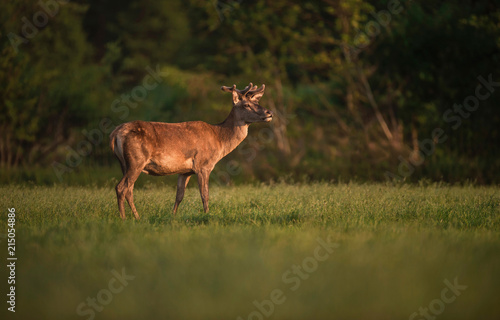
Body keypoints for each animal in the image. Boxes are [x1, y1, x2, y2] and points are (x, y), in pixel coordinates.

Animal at [109, 82, 274, 220]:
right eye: (246, 105)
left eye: (257, 102)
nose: (269, 113)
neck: (219, 139)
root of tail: (115, 133)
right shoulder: (203, 165)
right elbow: (205, 194)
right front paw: (207, 215)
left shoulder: (185, 171)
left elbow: (179, 196)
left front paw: (173, 216)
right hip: (136, 160)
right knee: (121, 187)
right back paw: (124, 218)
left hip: (125, 164)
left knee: (129, 189)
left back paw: (137, 217)